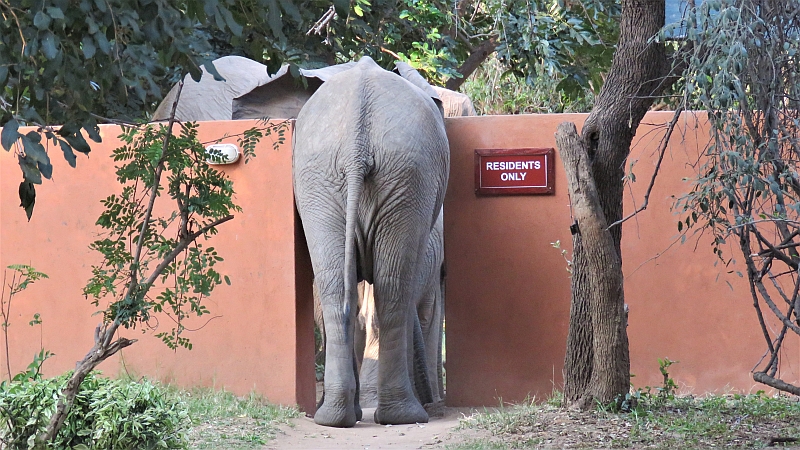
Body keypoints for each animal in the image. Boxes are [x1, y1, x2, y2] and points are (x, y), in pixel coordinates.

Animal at [292, 55, 450, 426]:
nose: (434, 402)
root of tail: (356, 145)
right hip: (400, 177)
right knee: (393, 290)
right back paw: (400, 416)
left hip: (331, 179)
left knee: (340, 288)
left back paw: (337, 418)